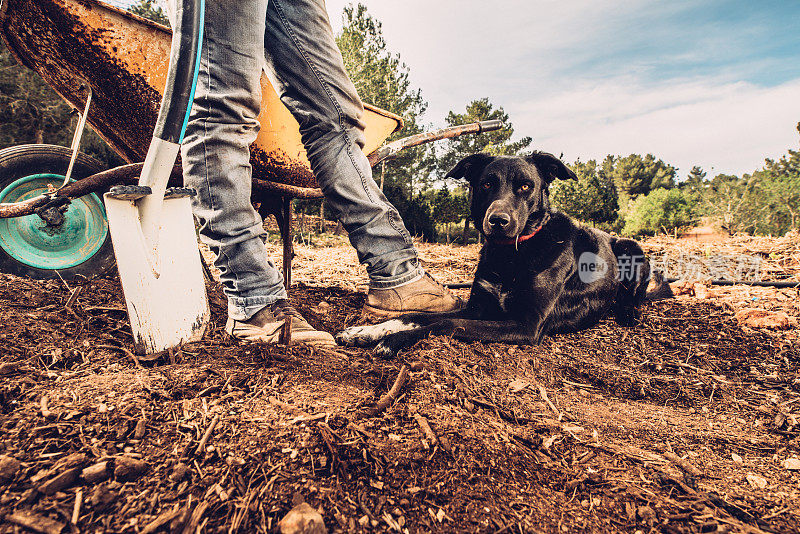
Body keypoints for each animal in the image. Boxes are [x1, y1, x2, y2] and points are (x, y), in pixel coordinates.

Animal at [336, 153, 668, 358]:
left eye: (525, 186)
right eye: (486, 184)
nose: (498, 221)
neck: (509, 255)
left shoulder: (526, 324)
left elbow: (444, 324)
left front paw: (392, 340)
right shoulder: (479, 308)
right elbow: (414, 315)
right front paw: (366, 330)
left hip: (633, 248)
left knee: (635, 296)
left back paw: (627, 313)